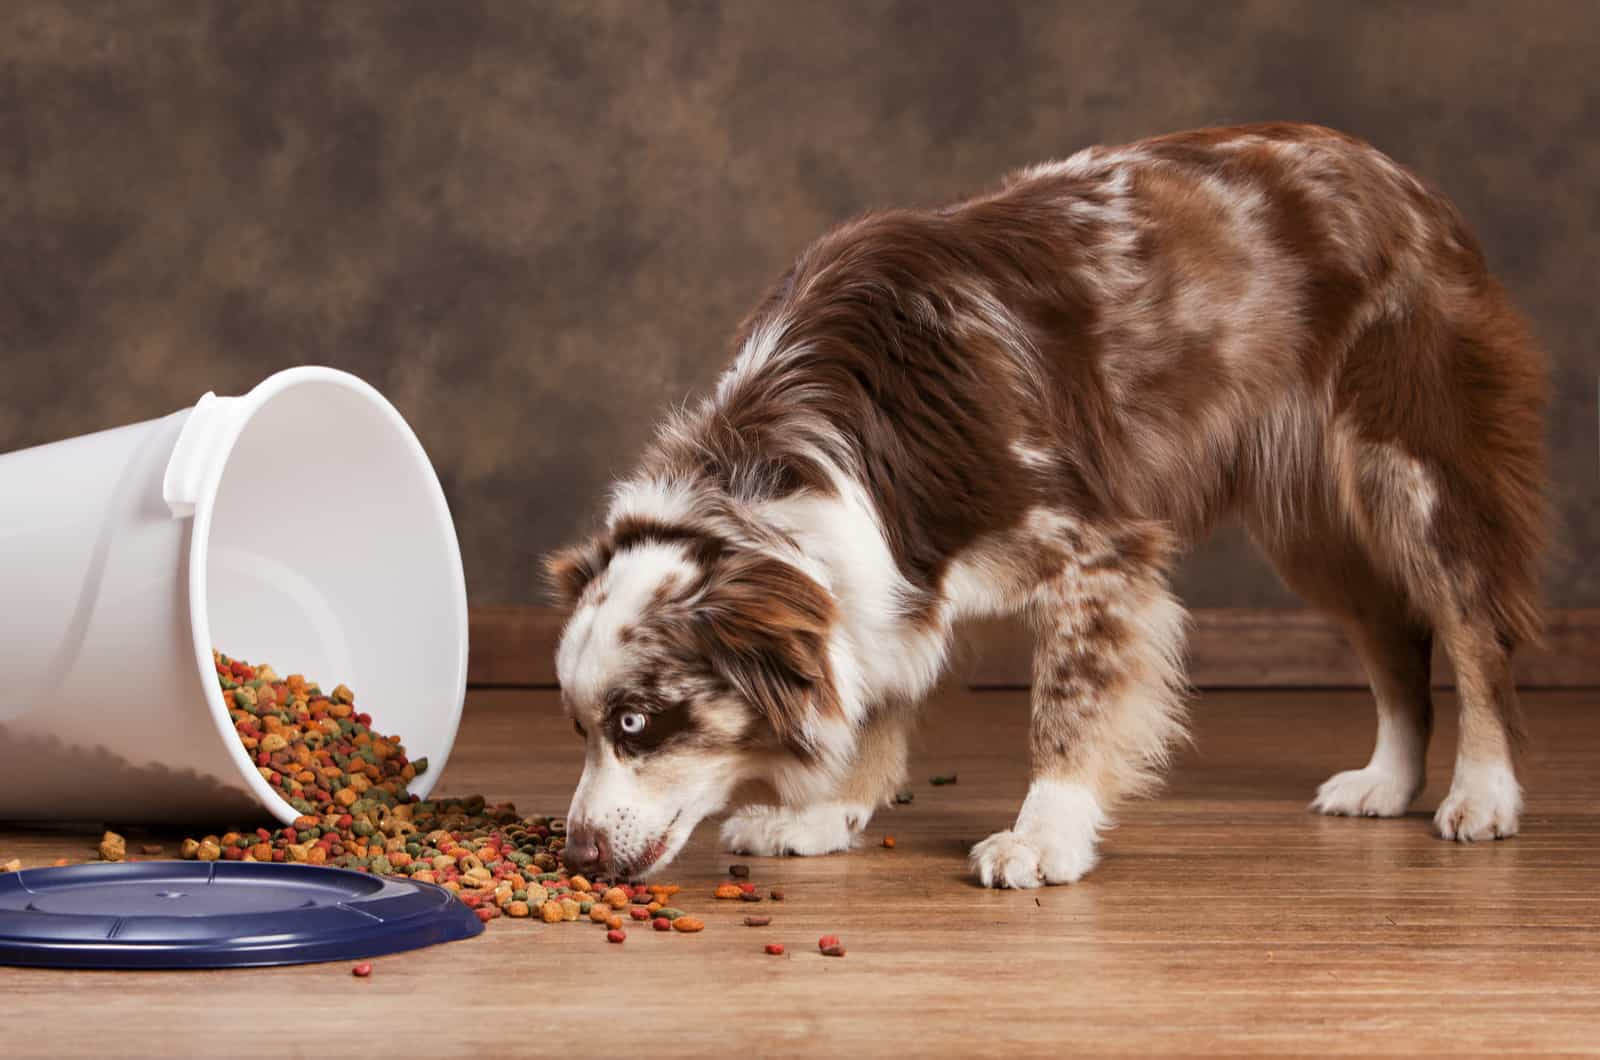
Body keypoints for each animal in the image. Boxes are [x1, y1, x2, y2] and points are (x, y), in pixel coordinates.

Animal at [544, 122, 1542, 890]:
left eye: (636, 723)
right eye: (580, 727)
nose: (578, 854)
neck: (797, 458)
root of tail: (1403, 179)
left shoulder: (1097, 554)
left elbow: (1065, 708)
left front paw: (1043, 837)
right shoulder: (886, 576)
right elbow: (875, 693)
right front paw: (827, 815)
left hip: (1413, 475)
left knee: (1471, 630)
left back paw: (1484, 792)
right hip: (1312, 531)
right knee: (1396, 640)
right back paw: (1387, 783)